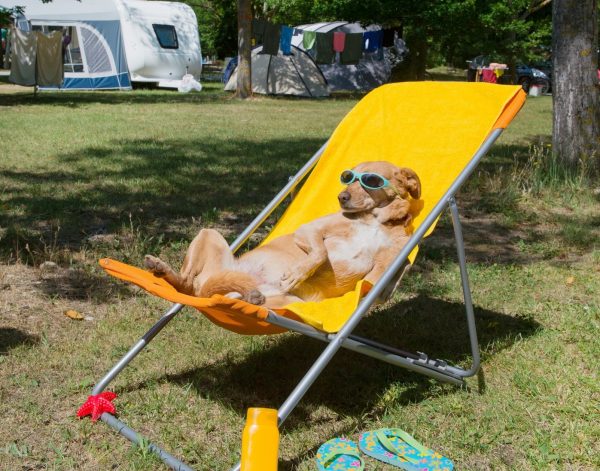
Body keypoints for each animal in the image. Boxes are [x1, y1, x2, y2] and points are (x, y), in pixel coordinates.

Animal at [143, 161, 420, 310]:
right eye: (349, 176)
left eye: (371, 180)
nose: (341, 197)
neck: (375, 221)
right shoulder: (308, 231)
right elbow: (319, 252)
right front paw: (299, 272)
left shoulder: (386, 266)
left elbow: (378, 283)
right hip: (208, 234)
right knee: (186, 285)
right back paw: (162, 269)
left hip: (288, 302)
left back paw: (250, 297)